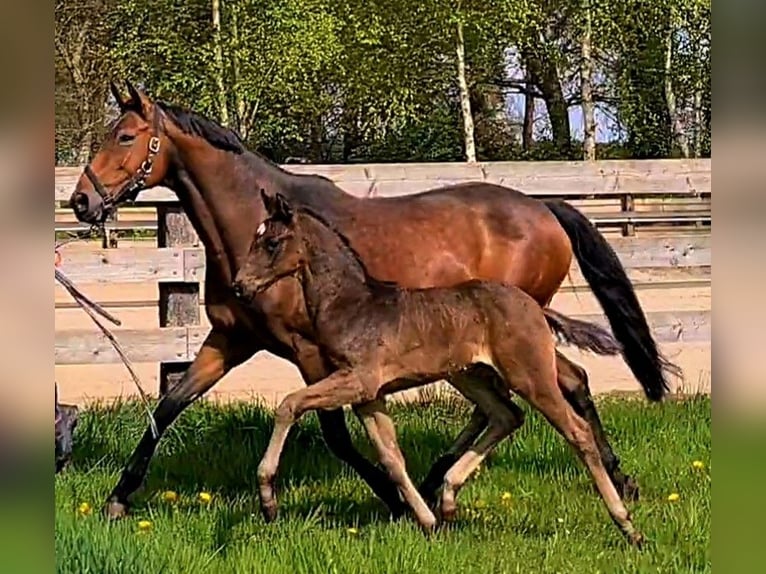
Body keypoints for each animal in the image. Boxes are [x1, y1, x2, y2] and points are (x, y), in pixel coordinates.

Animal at [232, 191, 640, 548]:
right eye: (255, 239)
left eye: (272, 243)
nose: (239, 286)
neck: (351, 305)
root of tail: (535, 307)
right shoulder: (369, 396)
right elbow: (391, 458)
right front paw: (426, 521)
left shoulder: (357, 381)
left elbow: (289, 404)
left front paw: (267, 499)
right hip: (469, 375)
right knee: (506, 415)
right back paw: (447, 498)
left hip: (529, 374)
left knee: (576, 431)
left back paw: (627, 526)